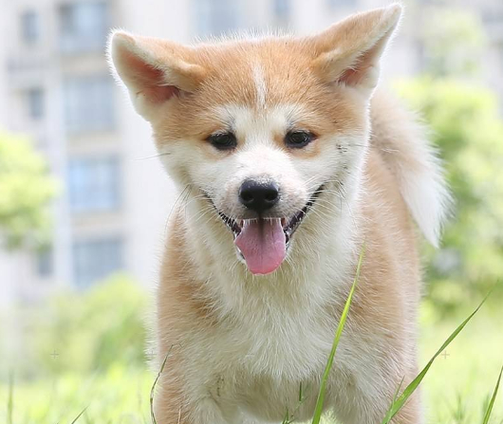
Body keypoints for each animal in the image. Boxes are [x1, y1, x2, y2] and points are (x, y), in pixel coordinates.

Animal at [109, 4, 448, 424]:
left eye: (298, 137)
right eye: (222, 139)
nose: (258, 191)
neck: (276, 295)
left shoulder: (381, 387)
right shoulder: (188, 387)